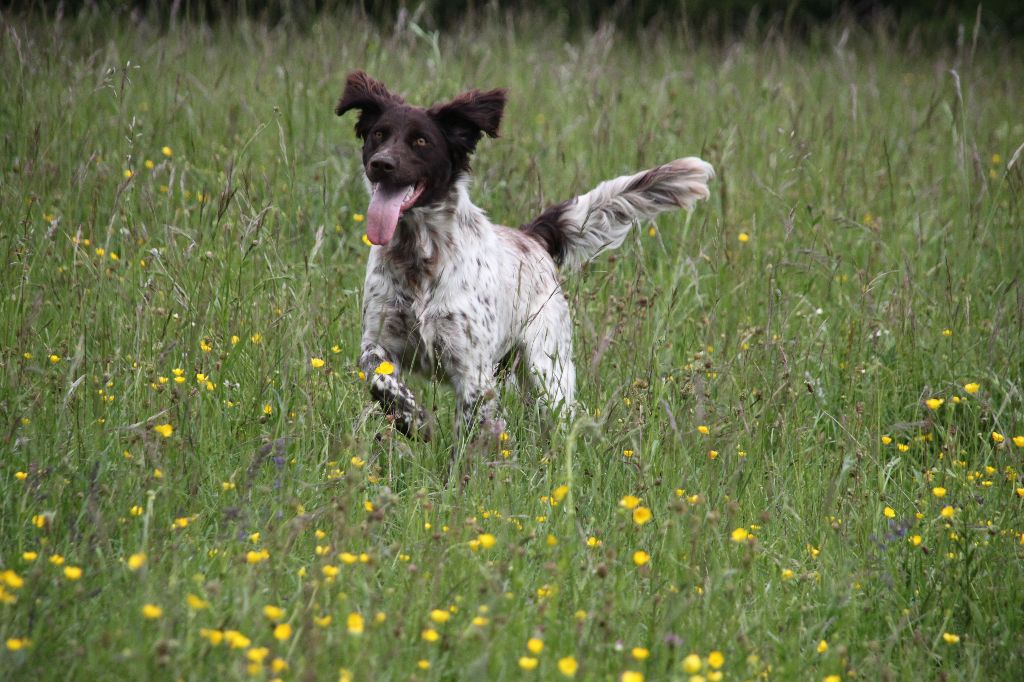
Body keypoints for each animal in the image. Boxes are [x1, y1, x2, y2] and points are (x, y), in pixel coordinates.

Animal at [335, 70, 712, 440]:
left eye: (421, 141)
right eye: (378, 134)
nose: (381, 164)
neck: (419, 258)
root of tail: (532, 238)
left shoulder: (472, 367)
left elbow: (472, 431)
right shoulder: (379, 343)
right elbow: (379, 381)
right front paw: (414, 419)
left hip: (547, 371)